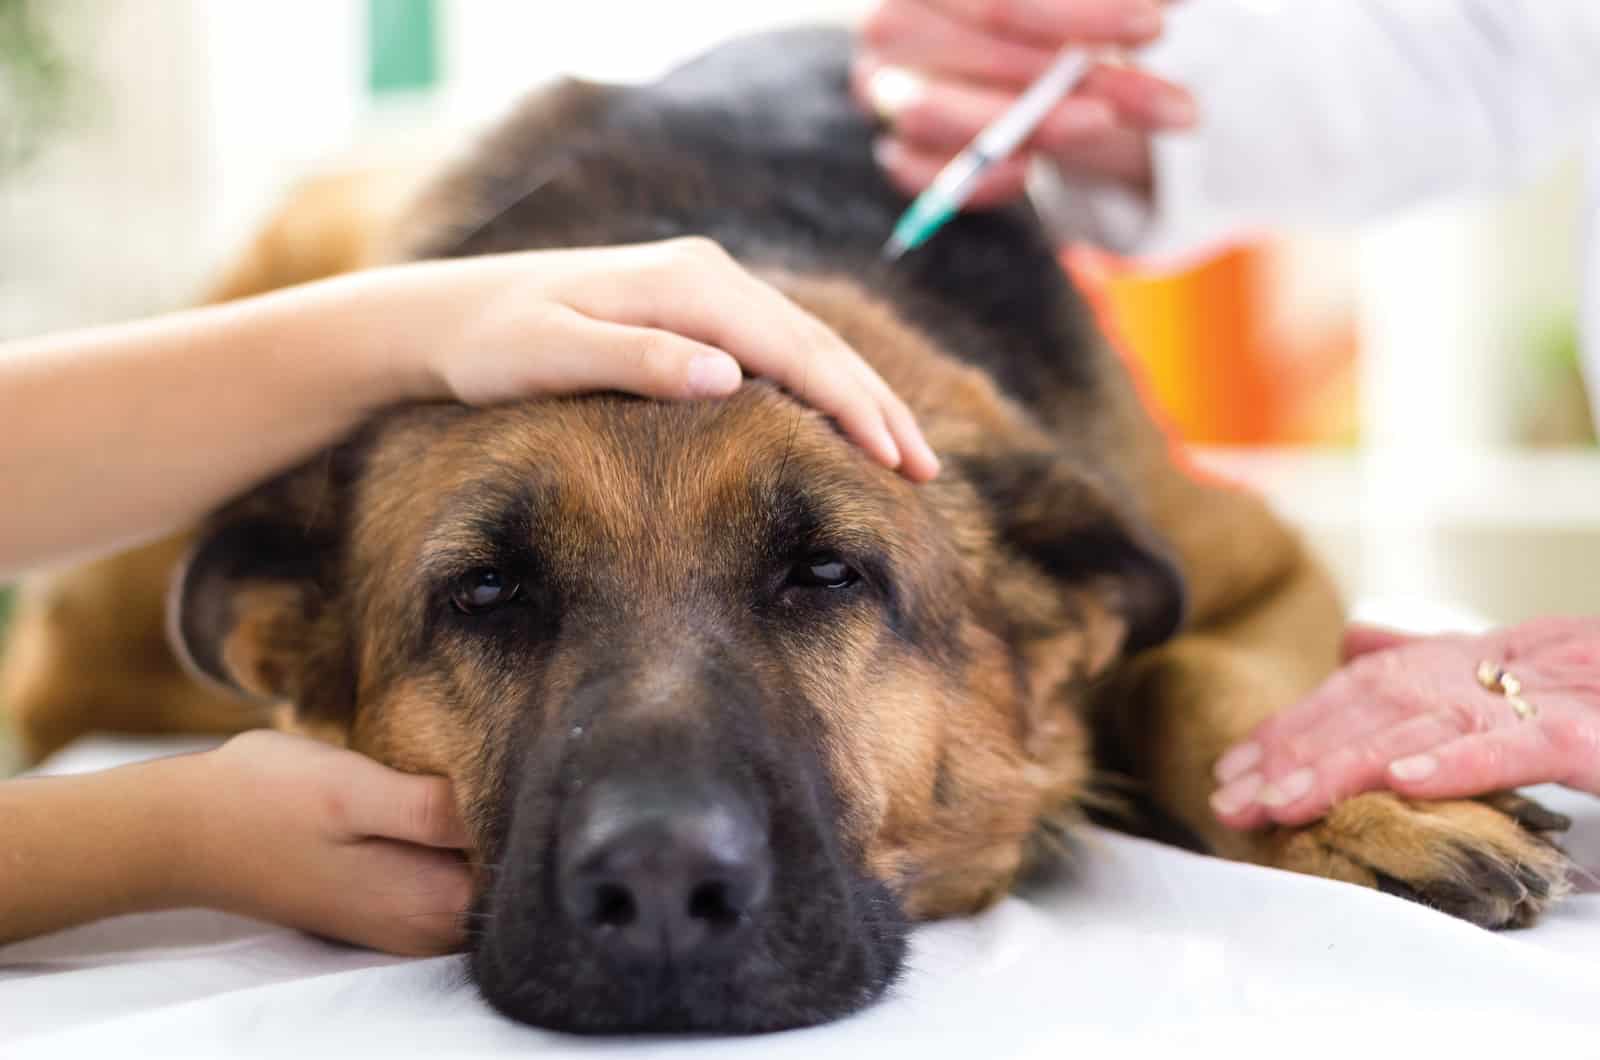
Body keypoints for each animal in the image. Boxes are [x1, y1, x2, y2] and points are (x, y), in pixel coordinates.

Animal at [3, 31, 1574, 1037]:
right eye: (487, 594)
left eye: (827, 575)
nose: (656, 887)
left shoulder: (1251, 564)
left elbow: (1201, 675)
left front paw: (1357, 805)